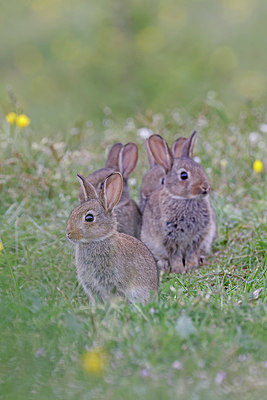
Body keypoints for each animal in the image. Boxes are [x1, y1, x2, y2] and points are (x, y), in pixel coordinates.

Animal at [141, 133, 217, 274]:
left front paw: (191, 266)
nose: (205, 187)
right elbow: (174, 255)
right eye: (183, 175)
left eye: (201, 169)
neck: (184, 199)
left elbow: (192, 252)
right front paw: (179, 269)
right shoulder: (169, 237)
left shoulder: (197, 236)